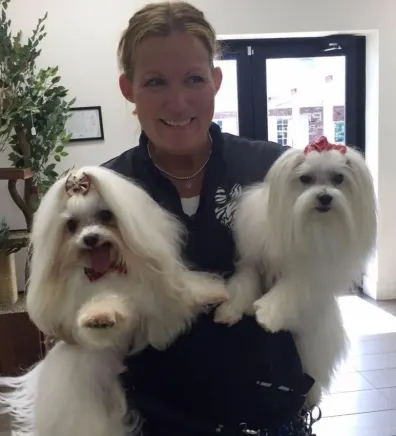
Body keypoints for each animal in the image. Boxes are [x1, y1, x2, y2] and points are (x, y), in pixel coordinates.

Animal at [0, 165, 227, 436]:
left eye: (106, 215)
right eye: (71, 225)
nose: (90, 238)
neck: (108, 271)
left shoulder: (159, 290)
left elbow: (184, 292)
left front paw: (217, 293)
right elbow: (104, 305)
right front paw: (99, 317)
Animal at [215, 138, 376, 408]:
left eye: (339, 178)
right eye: (305, 178)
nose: (324, 198)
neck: (308, 224)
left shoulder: (309, 273)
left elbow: (289, 290)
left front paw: (267, 315)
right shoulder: (253, 261)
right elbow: (243, 284)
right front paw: (228, 311)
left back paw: (310, 397)